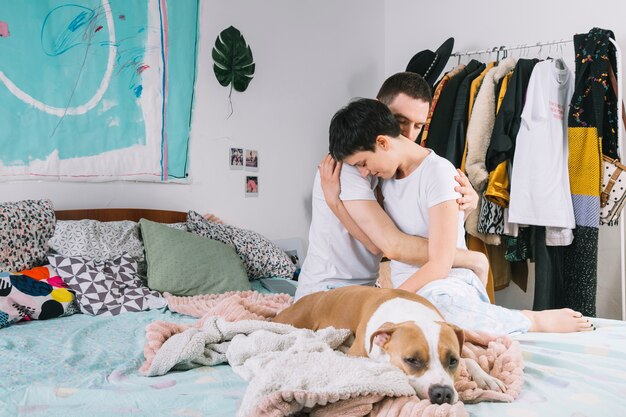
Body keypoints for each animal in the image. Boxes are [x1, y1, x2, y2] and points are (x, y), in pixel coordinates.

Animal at [272, 286, 502, 404]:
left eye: (452, 361)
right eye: (412, 360)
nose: (443, 393)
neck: (412, 315)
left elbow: (469, 359)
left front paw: (487, 378)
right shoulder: (358, 354)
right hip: (292, 320)